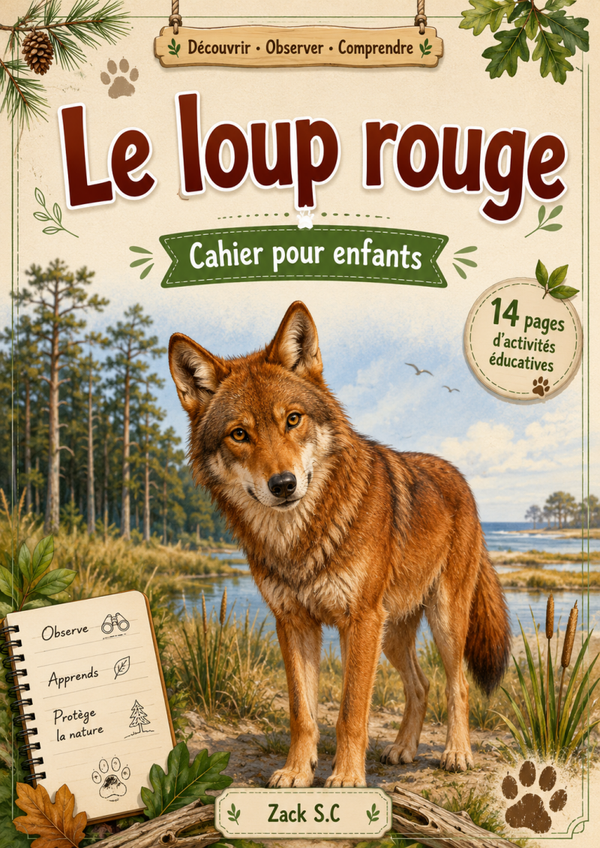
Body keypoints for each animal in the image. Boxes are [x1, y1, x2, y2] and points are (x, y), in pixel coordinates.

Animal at [169, 301, 511, 788]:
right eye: (239, 434)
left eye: (293, 419)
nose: (283, 484)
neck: (301, 538)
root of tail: (459, 478)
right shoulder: (294, 623)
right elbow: (302, 711)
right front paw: (297, 771)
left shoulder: (361, 620)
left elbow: (351, 711)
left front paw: (347, 778)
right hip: (392, 635)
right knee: (420, 685)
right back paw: (402, 749)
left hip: (441, 620)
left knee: (456, 684)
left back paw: (456, 753)